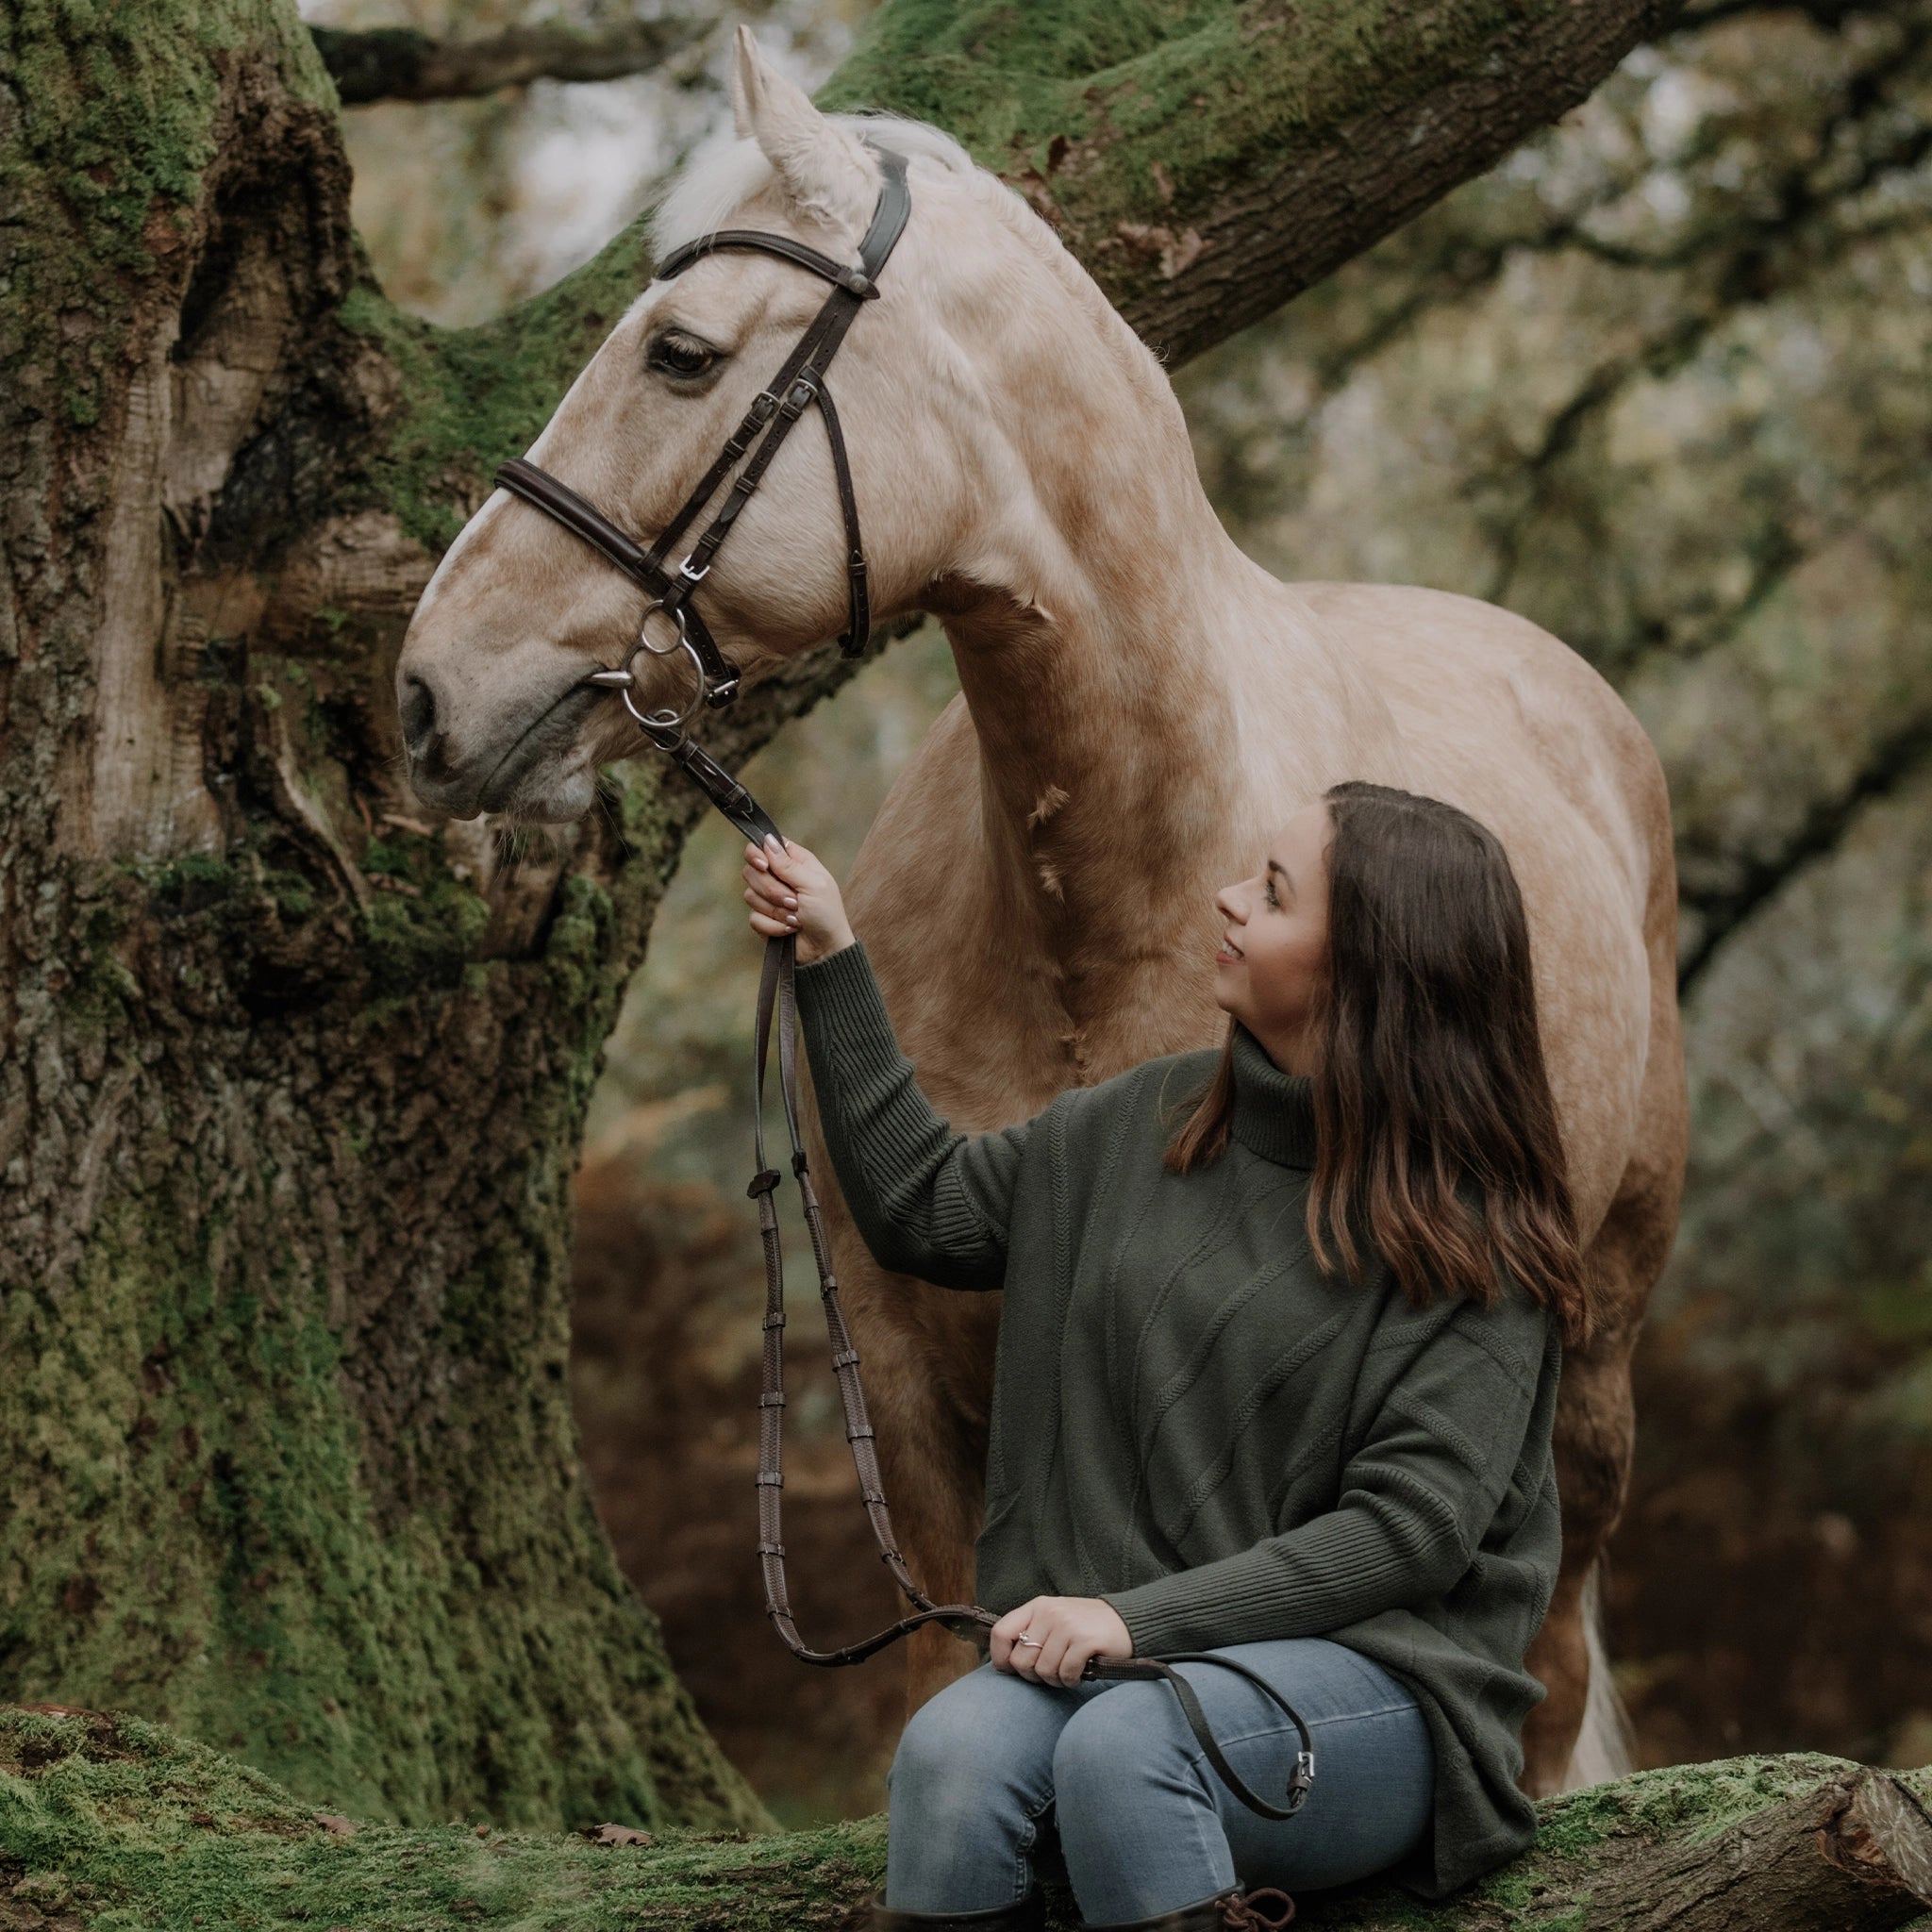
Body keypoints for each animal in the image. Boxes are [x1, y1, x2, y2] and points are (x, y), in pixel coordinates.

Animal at [399, 26, 1684, 1792]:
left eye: (679, 354)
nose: (423, 691)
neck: (1115, 896)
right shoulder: (920, 1403)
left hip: (1594, 1360)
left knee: (1546, 1670)